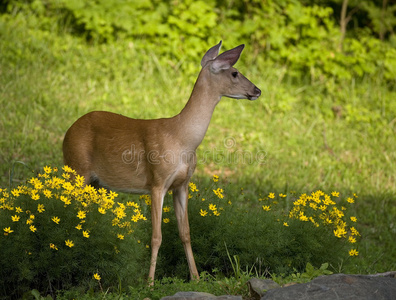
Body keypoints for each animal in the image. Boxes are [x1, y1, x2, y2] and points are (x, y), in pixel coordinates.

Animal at [62, 40, 260, 284]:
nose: (257, 90)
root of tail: (67, 133)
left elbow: (186, 233)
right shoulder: (157, 182)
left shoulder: (182, 185)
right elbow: (156, 236)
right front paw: (149, 282)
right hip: (76, 168)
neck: (182, 139)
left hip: (95, 182)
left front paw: (196, 277)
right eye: (234, 72)